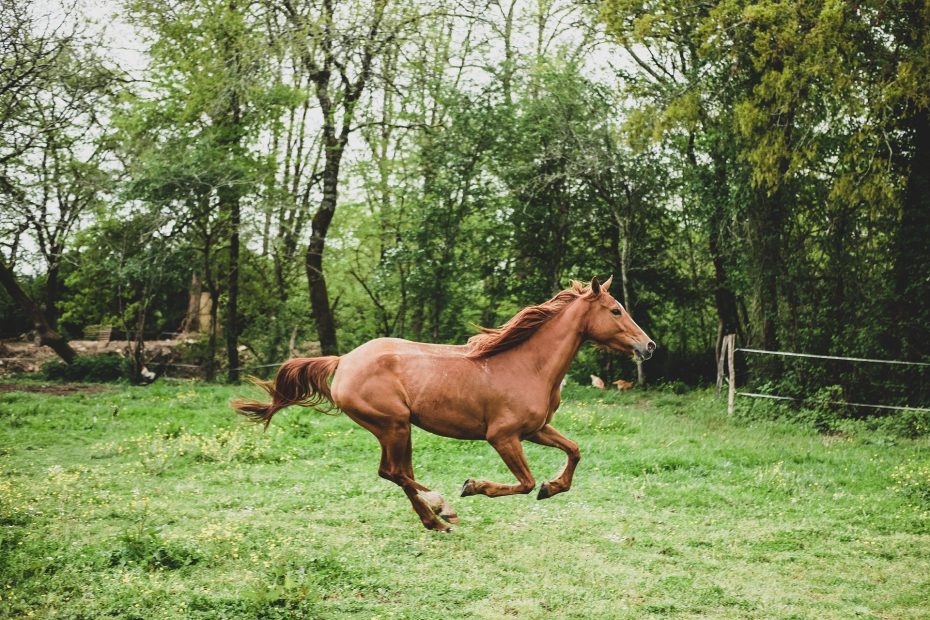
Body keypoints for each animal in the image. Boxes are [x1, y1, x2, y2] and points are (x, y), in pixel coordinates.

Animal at [231, 278, 652, 532]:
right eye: (615, 310)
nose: (648, 346)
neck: (526, 365)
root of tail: (344, 360)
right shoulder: (503, 436)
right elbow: (524, 482)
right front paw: (474, 486)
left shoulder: (535, 429)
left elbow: (574, 451)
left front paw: (553, 487)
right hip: (394, 425)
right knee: (394, 473)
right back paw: (442, 508)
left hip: (396, 430)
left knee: (396, 473)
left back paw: (435, 520)